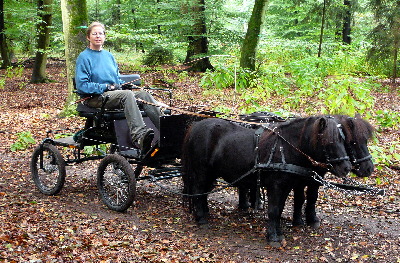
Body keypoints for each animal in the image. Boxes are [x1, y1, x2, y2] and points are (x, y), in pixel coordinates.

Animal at [183, 116, 352, 246]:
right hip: (202, 172)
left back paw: (204, 212)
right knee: (198, 191)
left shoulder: (285, 187)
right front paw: (273, 237)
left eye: (343, 140)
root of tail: (195, 126)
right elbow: (274, 210)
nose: (347, 167)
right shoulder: (276, 187)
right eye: (329, 142)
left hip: (210, 174)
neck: (285, 148)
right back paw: (201, 218)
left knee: (203, 193)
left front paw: (278, 232)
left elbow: (279, 210)